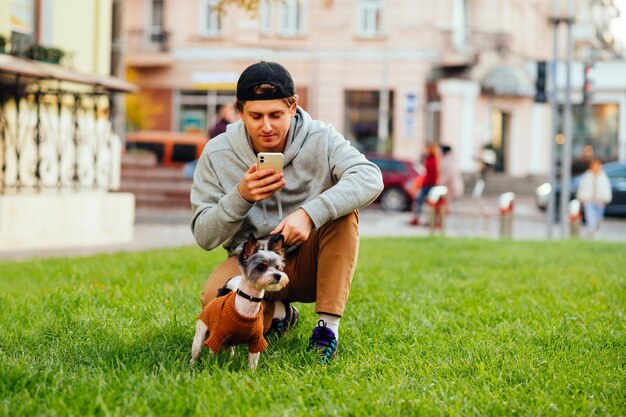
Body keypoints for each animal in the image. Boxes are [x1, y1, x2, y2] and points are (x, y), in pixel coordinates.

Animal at [189, 232, 288, 368]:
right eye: (261, 267)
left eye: (278, 267)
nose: (278, 276)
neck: (247, 306)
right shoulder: (216, 338)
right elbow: (212, 357)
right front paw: (211, 368)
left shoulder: (256, 341)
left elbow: (252, 363)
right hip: (200, 337)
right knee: (196, 353)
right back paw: (192, 366)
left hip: (229, 342)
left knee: (230, 351)